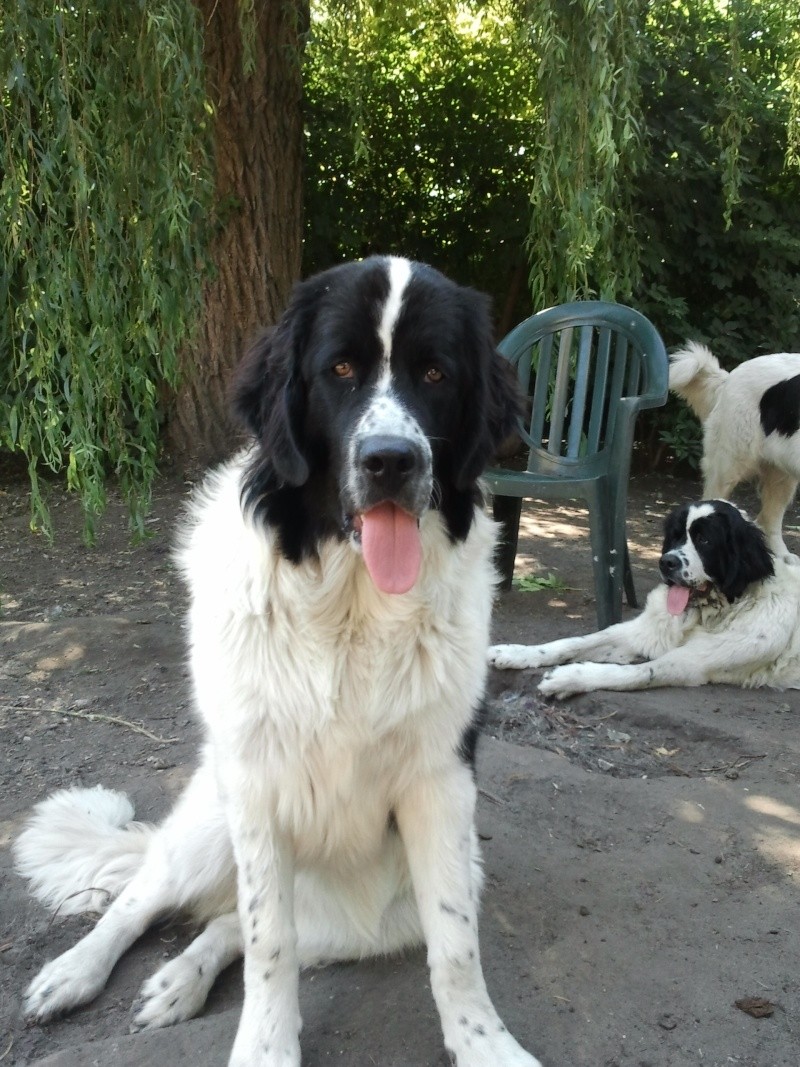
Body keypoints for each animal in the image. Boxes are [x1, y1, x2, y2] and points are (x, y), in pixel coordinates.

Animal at [14, 256, 546, 1067]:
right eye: (340, 369)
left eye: (435, 372)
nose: (391, 461)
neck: (352, 607)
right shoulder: (257, 786)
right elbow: (270, 940)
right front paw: (265, 1047)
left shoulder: (441, 785)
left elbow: (455, 942)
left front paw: (485, 1043)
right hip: (208, 819)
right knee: (146, 894)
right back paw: (75, 970)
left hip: (379, 913)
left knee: (224, 922)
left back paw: (178, 979)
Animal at [488, 499, 800, 699]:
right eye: (675, 536)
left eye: (705, 540)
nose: (667, 562)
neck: (707, 614)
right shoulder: (643, 632)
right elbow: (575, 642)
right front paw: (515, 652)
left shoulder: (690, 664)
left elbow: (637, 674)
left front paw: (569, 678)